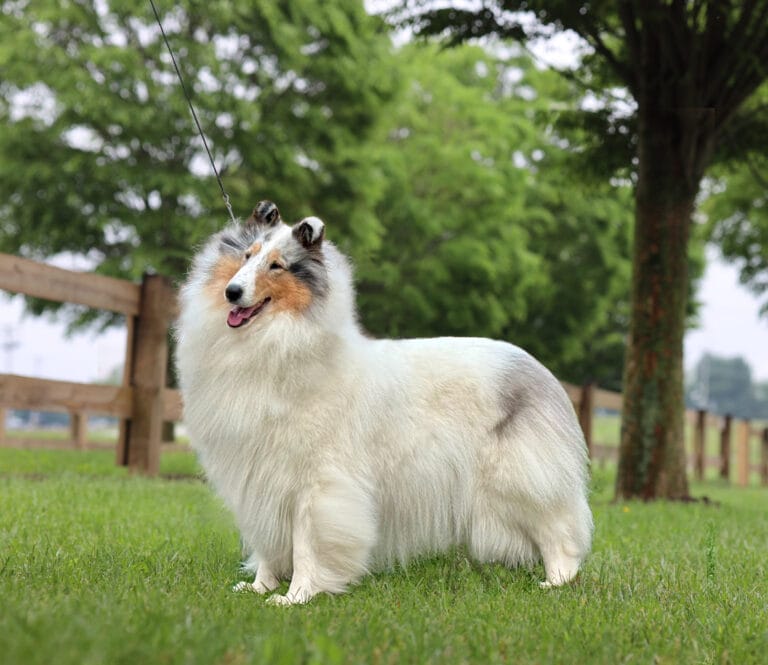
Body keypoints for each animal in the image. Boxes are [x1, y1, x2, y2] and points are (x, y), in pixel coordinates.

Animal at [176, 200, 592, 604]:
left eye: (277, 266)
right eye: (247, 256)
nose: (232, 292)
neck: (276, 340)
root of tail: (540, 371)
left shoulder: (317, 484)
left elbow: (306, 544)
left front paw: (296, 597)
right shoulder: (259, 478)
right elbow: (266, 544)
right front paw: (260, 588)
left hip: (520, 480)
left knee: (560, 532)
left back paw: (556, 582)